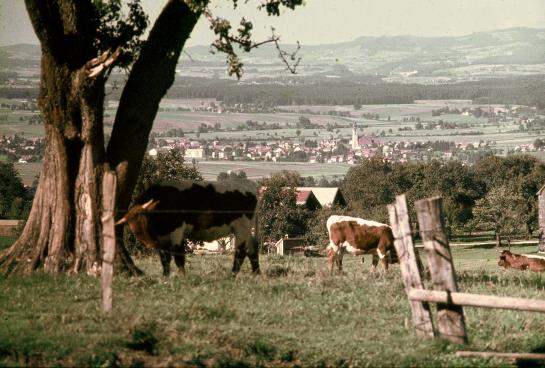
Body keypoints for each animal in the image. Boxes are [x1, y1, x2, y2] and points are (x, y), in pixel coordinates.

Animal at [115, 181, 260, 276]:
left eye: (146, 219)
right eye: (133, 228)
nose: (150, 244)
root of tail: (250, 192)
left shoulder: (177, 231)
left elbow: (178, 255)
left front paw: (182, 276)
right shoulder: (162, 238)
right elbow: (165, 258)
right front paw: (165, 276)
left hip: (242, 228)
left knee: (241, 251)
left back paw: (233, 275)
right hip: (246, 230)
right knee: (252, 249)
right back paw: (256, 273)